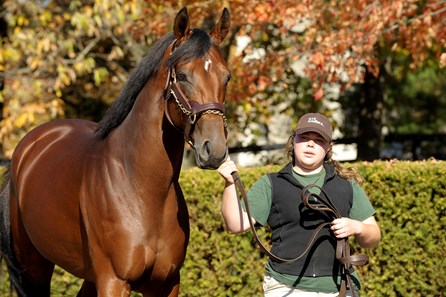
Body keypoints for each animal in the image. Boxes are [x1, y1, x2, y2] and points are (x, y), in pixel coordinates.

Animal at [0, 6, 230, 296]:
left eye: (227, 77)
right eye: (182, 75)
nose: (215, 149)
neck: (141, 188)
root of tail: (28, 147)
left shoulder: (167, 283)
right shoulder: (114, 280)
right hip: (33, 266)